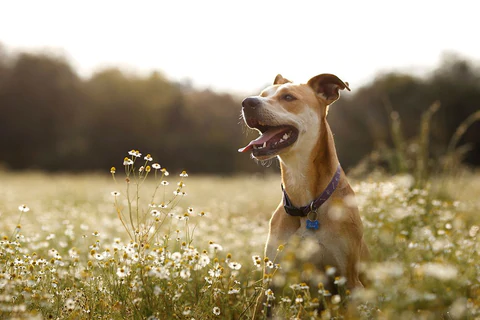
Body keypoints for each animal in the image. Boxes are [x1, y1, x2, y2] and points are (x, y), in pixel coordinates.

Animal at [238, 74, 370, 316]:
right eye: (262, 95)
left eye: (288, 97)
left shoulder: (349, 281)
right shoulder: (271, 281)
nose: (247, 102)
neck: (306, 205)